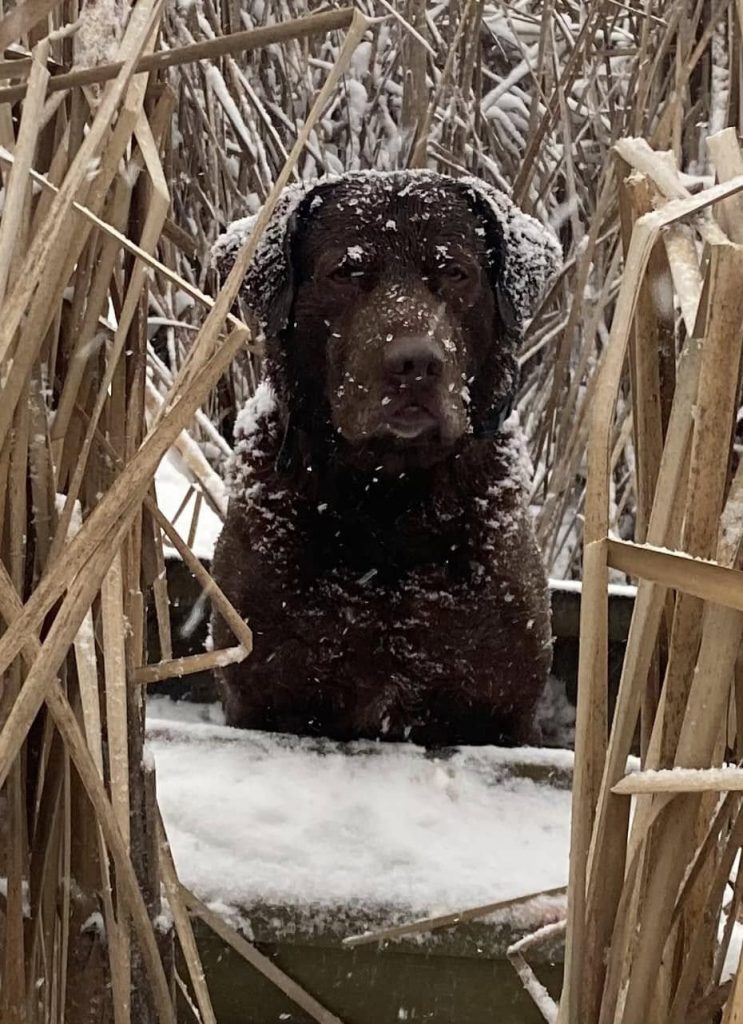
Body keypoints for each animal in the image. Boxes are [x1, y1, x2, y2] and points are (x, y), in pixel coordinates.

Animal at [210, 170, 561, 746]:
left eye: (455, 271)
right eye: (346, 271)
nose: (416, 363)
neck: (389, 504)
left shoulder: (502, 710)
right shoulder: (265, 695)